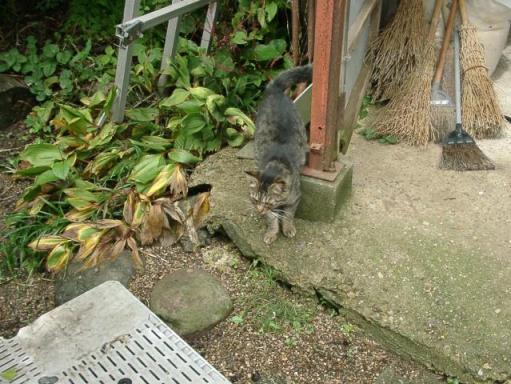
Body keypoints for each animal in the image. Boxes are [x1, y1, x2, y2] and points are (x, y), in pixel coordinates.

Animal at [247, 63, 314, 243]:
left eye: (267, 203)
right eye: (255, 199)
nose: (259, 210)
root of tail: (275, 90)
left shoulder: (295, 198)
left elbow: (288, 215)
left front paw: (288, 227)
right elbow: (272, 220)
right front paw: (271, 232)